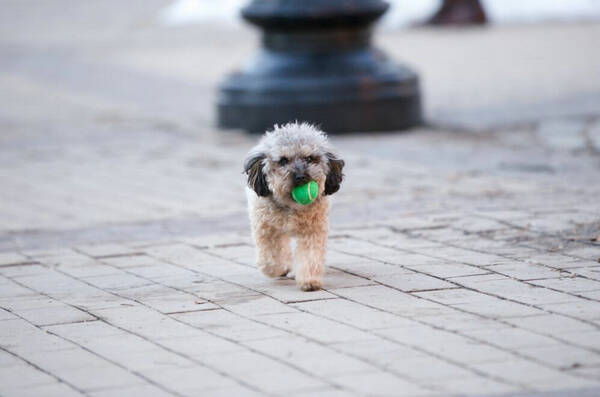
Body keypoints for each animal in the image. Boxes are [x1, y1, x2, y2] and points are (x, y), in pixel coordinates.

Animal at [244, 122, 344, 290]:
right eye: (283, 160)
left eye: (309, 158)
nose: (301, 176)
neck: (291, 206)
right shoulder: (266, 229)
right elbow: (270, 256)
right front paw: (275, 269)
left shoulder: (312, 231)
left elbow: (310, 256)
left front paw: (310, 281)